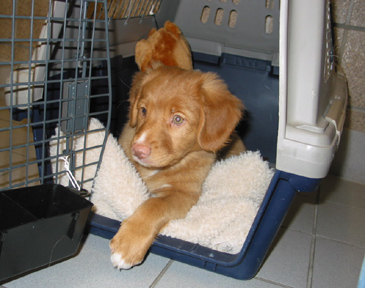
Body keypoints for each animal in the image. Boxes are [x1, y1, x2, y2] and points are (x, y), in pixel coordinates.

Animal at [109, 66, 243, 270]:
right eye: (143, 110)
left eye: (178, 119)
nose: (138, 150)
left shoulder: (184, 193)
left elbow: (155, 205)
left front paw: (127, 245)